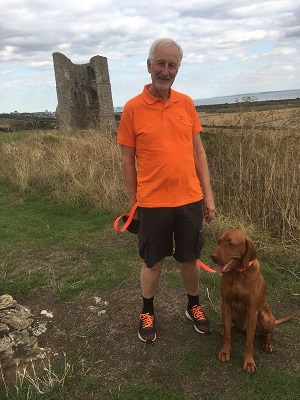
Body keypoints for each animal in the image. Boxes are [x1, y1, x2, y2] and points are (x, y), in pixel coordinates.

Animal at [210, 230, 296, 374]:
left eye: (230, 243)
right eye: (218, 241)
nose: (212, 256)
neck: (238, 273)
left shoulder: (252, 311)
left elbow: (249, 341)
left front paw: (249, 362)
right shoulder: (225, 304)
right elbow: (227, 334)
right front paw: (225, 351)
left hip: (266, 317)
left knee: (265, 333)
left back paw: (267, 344)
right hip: (233, 312)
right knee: (235, 327)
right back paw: (230, 328)